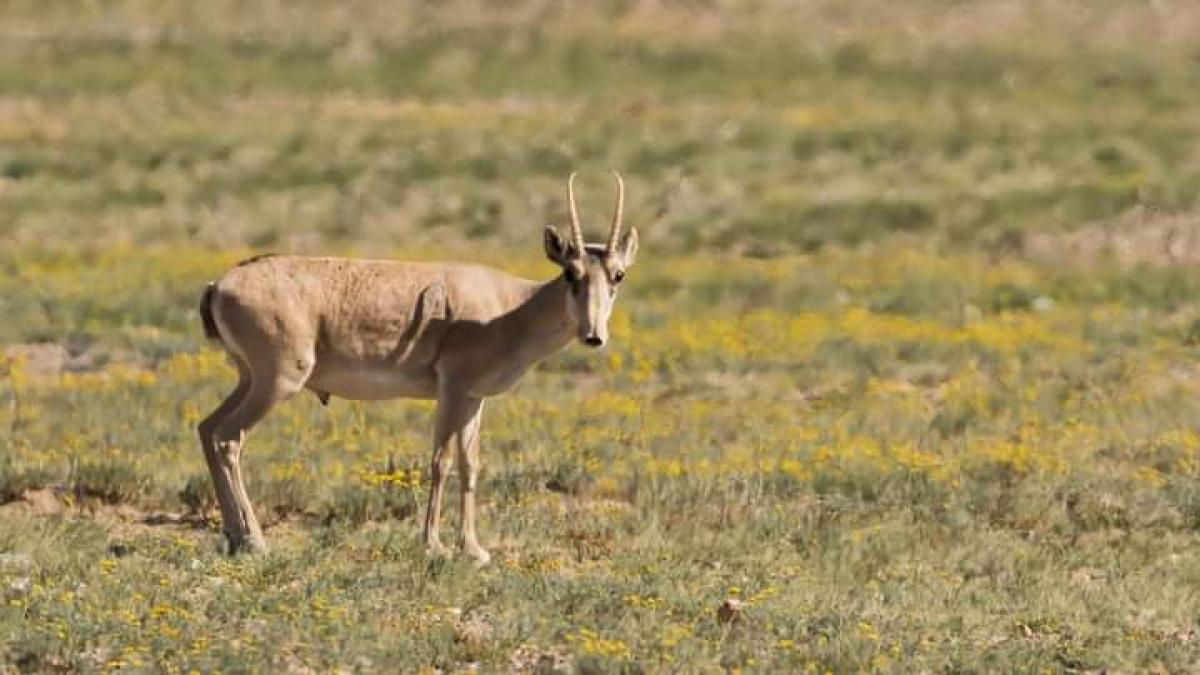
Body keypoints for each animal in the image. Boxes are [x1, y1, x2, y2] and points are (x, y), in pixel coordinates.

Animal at [199, 170, 638, 559]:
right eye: (571, 273)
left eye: (617, 275)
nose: (593, 335)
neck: (510, 306)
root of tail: (219, 285)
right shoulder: (452, 390)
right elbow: (440, 461)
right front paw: (434, 545)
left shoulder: (474, 398)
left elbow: (470, 463)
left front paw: (474, 549)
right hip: (277, 382)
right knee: (229, 438)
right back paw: (255, 542)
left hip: (250, 379)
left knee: (207, 429)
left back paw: (235, 537)